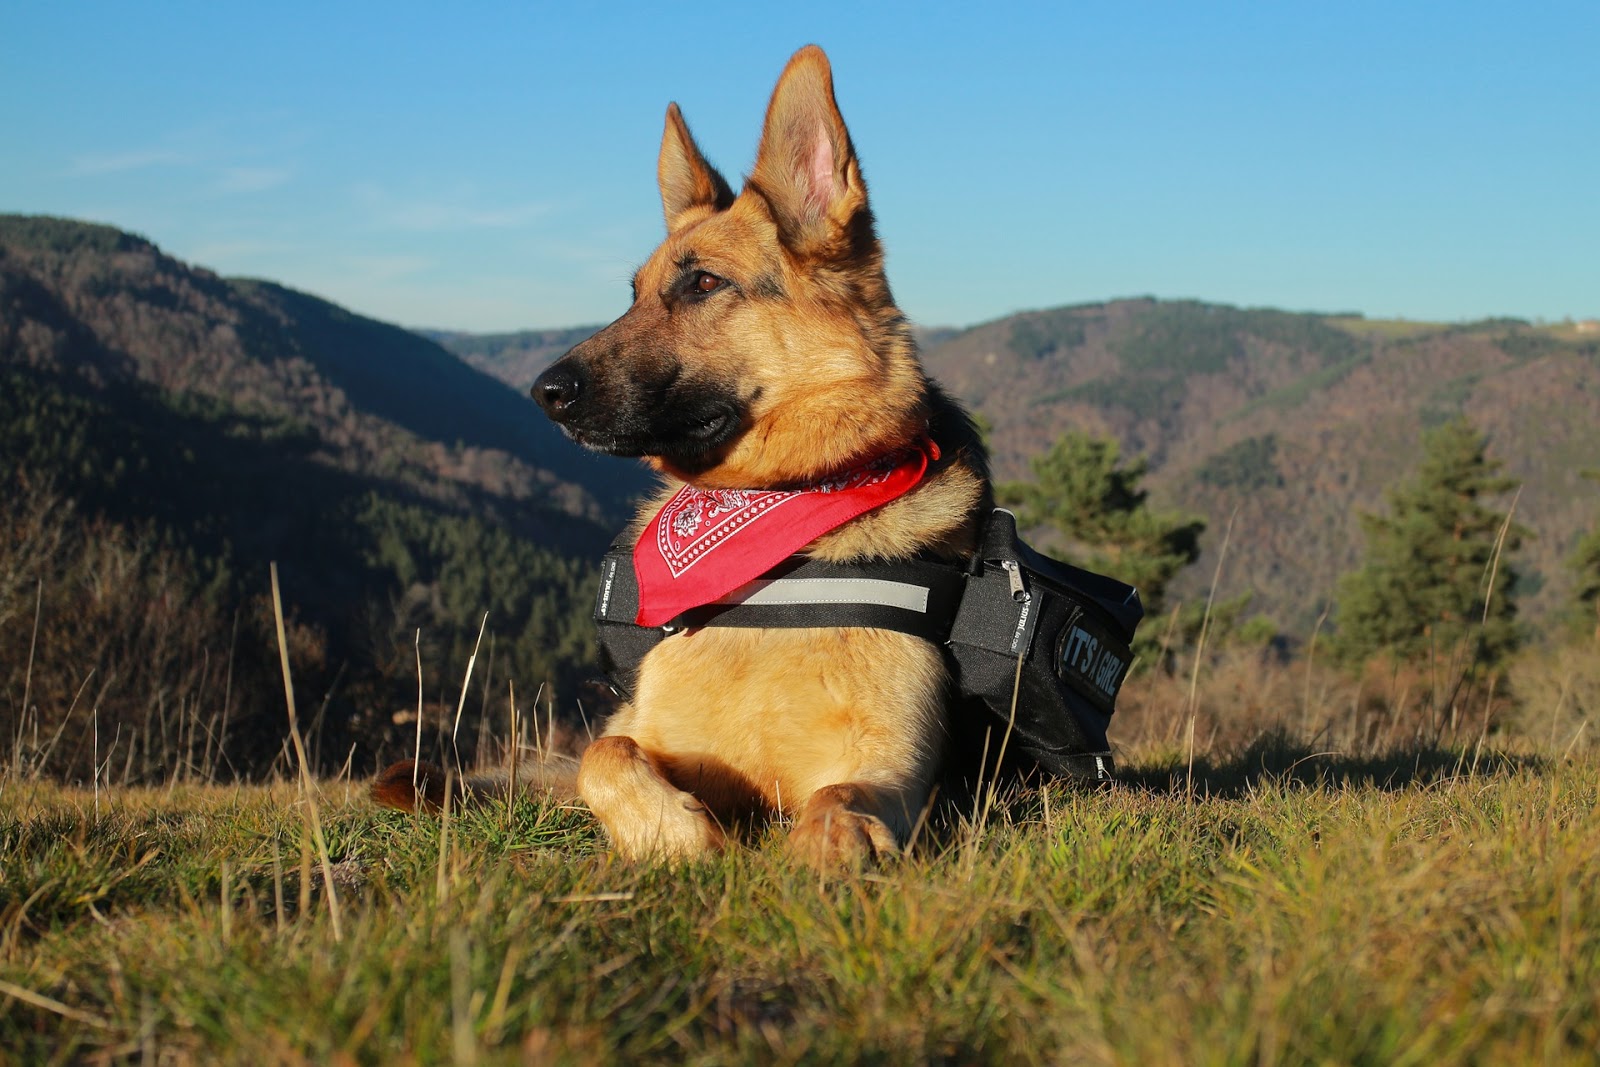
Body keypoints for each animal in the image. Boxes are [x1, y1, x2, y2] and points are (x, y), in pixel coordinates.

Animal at [380, 45, 992, 870]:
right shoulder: (637, 733)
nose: (544, 392)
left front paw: (830, 847)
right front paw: (675, 831)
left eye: (704, 283)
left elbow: (841, 795)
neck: (777, 527)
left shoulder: (896, 765)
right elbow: (603, 754)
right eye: (633, 293)